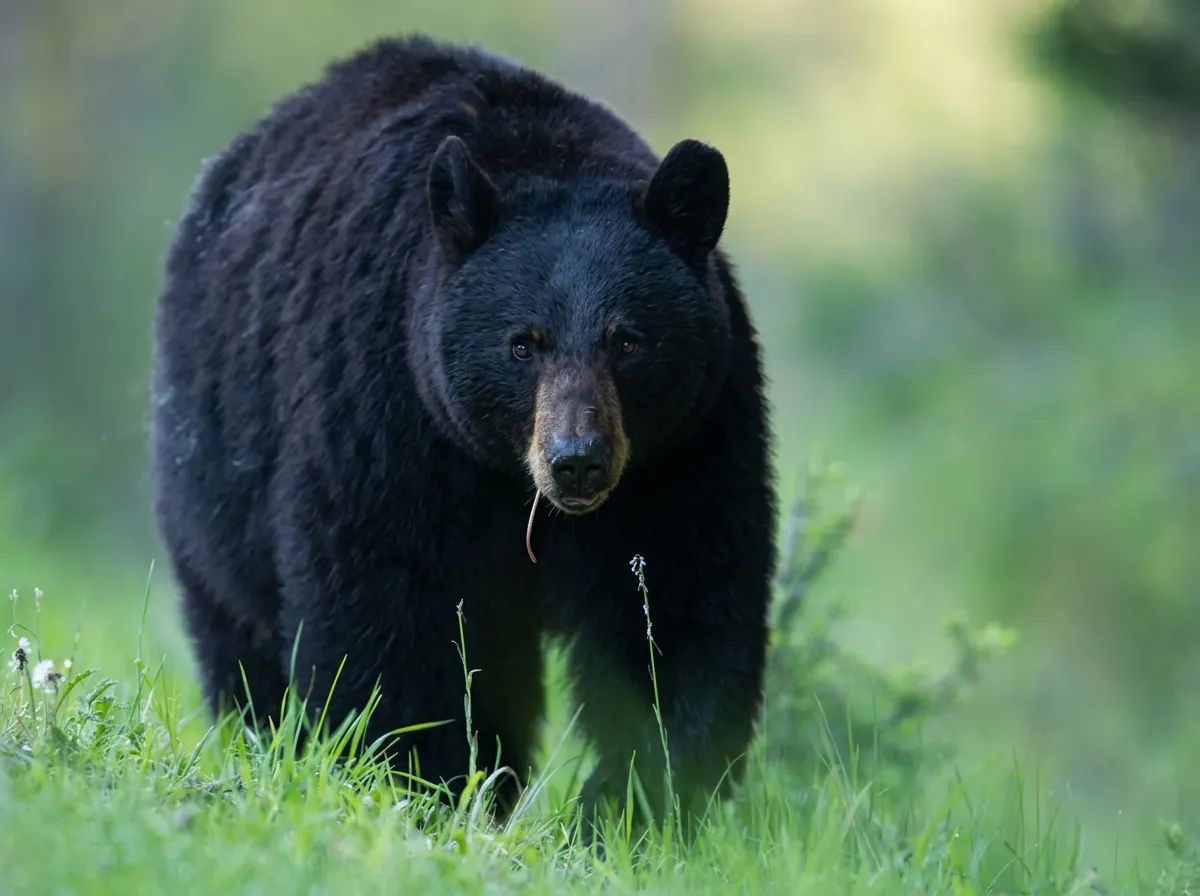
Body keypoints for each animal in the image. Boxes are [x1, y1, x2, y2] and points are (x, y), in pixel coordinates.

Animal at [152, 36, 775, 822]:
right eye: (523, 343)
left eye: (628, 341)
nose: (577, 460)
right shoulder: (386, 411)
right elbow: (385, 603)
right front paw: (420, 781)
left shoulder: (687, 446)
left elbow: (678, 603)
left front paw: (632, 803)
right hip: (214, 457)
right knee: (238, 630)